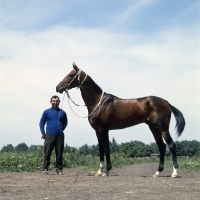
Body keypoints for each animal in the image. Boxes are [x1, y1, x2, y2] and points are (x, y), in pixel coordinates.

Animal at [55, 63, 185, 177]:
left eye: (71, 75)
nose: (58, 87)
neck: (99, 103)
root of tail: (167, 103)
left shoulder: (103, 129)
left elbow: (106, 148)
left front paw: (106, 171)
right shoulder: (97, 131)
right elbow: (101, 149)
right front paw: (99, 171)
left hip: (163, 128)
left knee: (171, 145)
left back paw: (174, 173)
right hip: (153, 127)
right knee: (161, 147)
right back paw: (157, 172)